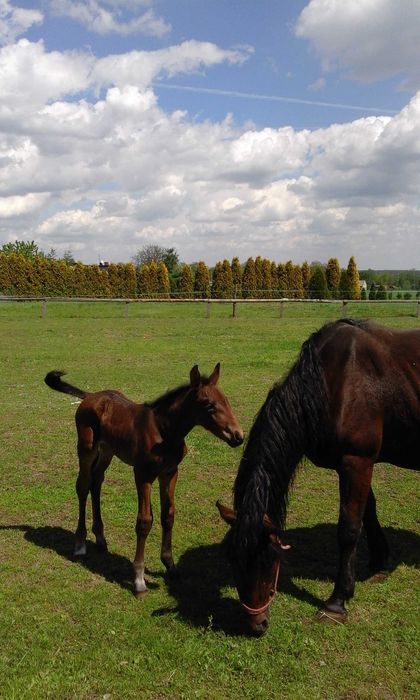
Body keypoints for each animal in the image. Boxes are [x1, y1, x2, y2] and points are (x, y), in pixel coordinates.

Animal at [44, 366, 243, 596]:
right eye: (208, 404)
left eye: (226, 401)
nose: (238, 436)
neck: (164, 431)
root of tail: (90, 396)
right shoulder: (143, 475)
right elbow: (144, 521)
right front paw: (139, 579)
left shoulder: (170, 473)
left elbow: (168, 515)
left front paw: (170, 566)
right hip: (86, 449)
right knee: (83, 486)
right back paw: (79, 543)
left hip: (107, 450)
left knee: (97, 482)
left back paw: (100, 537)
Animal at [218, 320, 418, 636]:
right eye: (233, 560)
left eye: (267, 559)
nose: (256, 625)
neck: (333, 382)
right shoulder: (352, 464)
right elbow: (368, 513)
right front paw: (379, 562)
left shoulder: (357, 462)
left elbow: (349, 529)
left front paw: (337, 602)